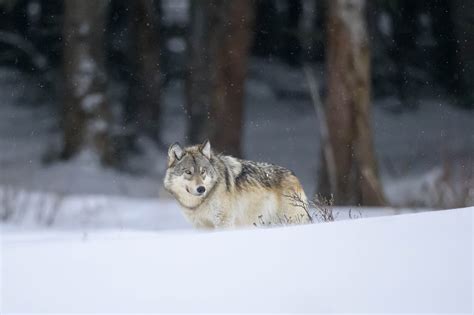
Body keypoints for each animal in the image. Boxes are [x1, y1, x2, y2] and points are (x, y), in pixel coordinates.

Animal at [163, 141, 312, 230]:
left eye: (203, 171)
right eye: (188, 172)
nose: (201, 189)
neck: (199, 203)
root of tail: (294, 175)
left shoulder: (224, 222)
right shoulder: (202, 226)